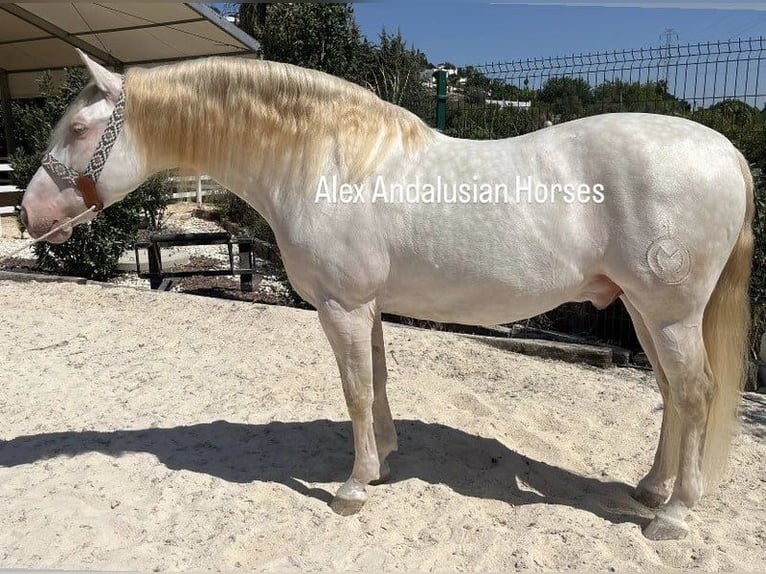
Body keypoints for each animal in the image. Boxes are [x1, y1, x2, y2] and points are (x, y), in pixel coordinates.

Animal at [21, 51, 752, 544]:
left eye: (80, 129)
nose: (29, 216)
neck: (323, 161)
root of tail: (726, 152)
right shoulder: (364, 305)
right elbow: (375, 380)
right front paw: (383, 462)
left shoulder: (340, 305)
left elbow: (354, 391)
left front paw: (351, 488)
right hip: (645, 311)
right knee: (672, 395)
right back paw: (651, 489)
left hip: (669, 313)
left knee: (694, 393)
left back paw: (675, 515)